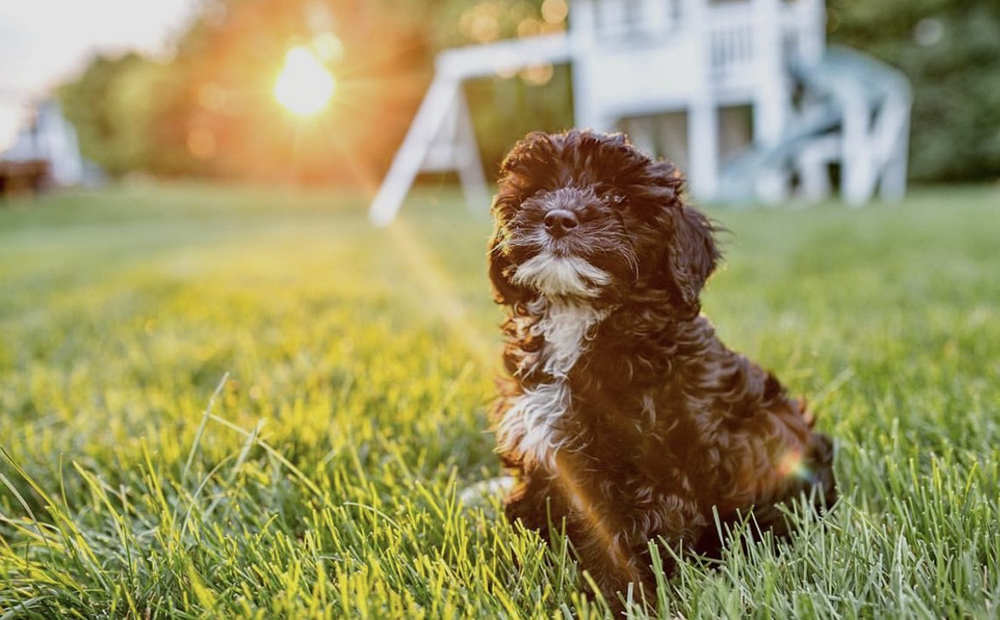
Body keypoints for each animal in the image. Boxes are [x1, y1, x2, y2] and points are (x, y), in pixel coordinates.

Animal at [484, 130, 836, 604]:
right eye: (536, 189)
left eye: (617, 196)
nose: (558, 218)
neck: (579, 319)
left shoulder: (648, 476)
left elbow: (629, 545)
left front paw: (618, 601)